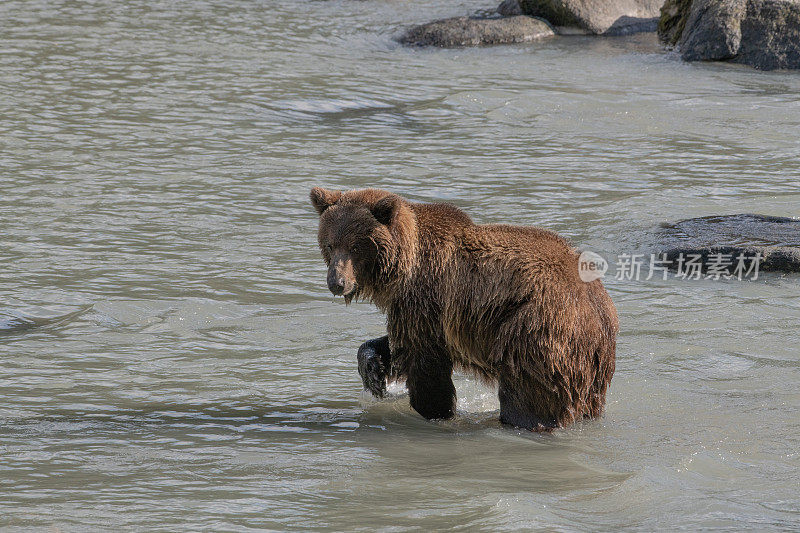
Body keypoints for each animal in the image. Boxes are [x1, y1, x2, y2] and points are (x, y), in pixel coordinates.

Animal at [310, 187, 616, 432]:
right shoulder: (416, 309)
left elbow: (425, 361)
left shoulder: (428, 293)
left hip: (534, 330)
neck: (402, 267)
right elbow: (401, 343)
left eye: (356, 246)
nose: (337, 282)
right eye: (330, 244)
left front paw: (434, 412)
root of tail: (598, 306)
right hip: (587, 366)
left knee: (527, 393)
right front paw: (373, 370)